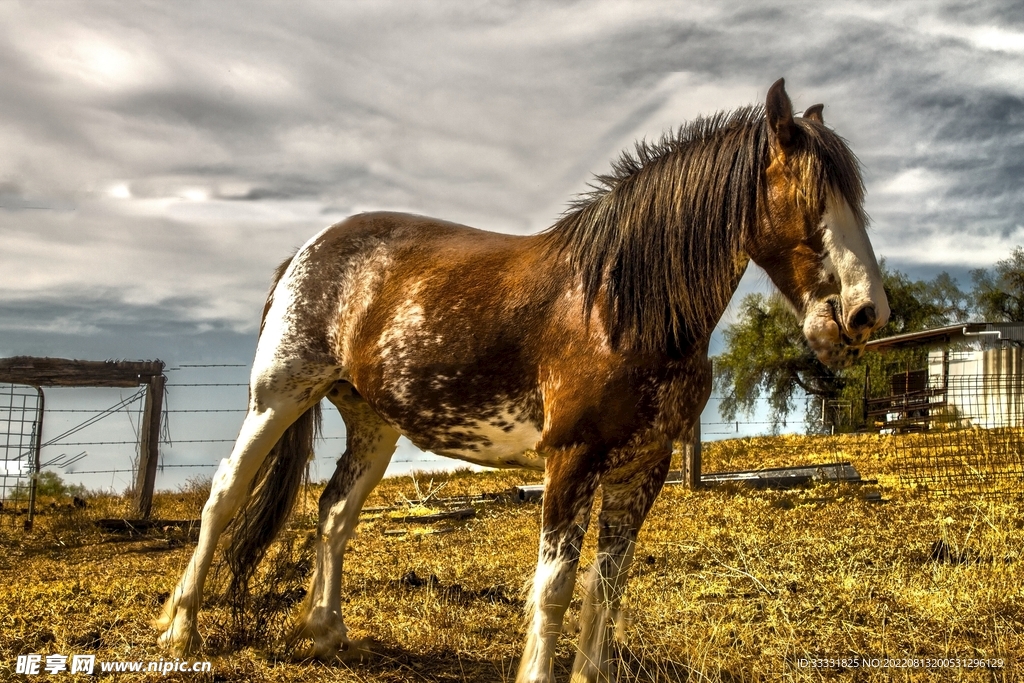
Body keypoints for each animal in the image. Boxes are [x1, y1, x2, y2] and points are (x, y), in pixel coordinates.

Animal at [155, 79, 889, 682]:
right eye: (808, 198)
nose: (865, 314)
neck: (617, 303)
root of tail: (307, 251)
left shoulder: (642, 466)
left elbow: (606, 585)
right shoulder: (571, 459)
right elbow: (555, 585)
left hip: (374, 422)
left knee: (335, 511)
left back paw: (324, 631)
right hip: (279, 396)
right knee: (224, 495)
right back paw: (179, 629)